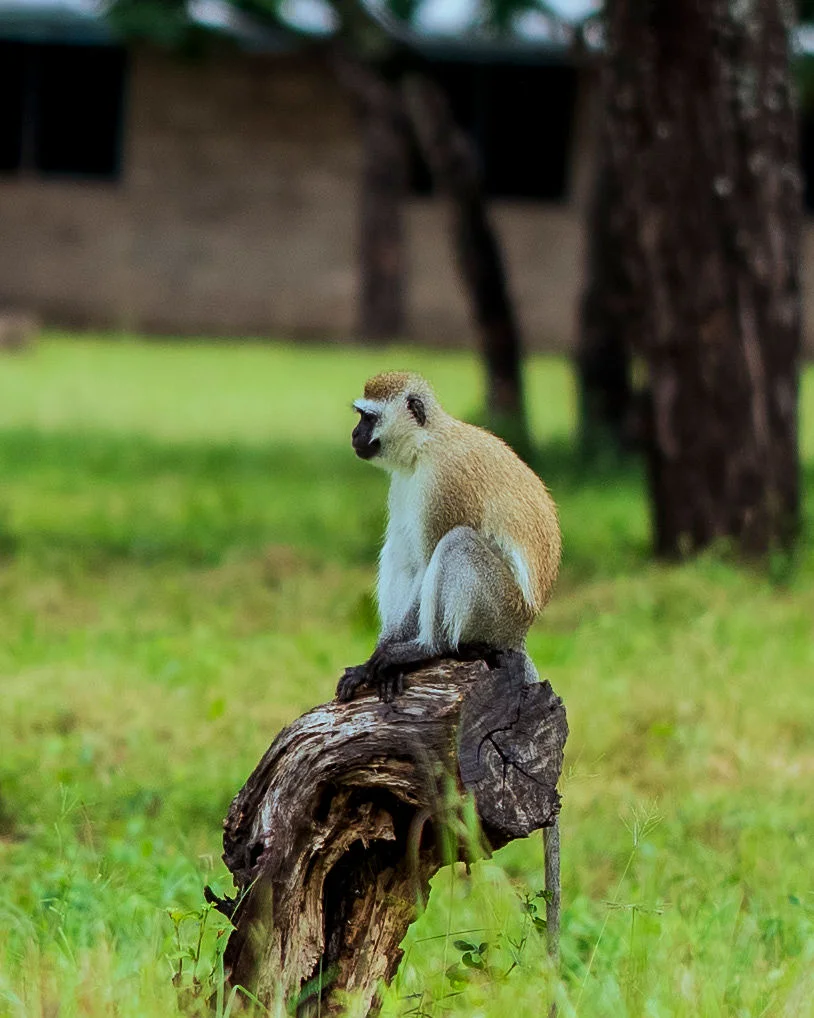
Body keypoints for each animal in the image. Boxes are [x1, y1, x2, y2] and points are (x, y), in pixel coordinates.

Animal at [336, 371, 561, 704]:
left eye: (369, 418)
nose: (354, 434)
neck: (425, 443)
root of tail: (520, 634)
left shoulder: (444, 483)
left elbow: (426, 562)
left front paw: (376, 663)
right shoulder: (403, 482)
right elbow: (409, 563)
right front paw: (381, 650)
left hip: (503, 612)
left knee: (458, 543)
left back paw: (429, 648)